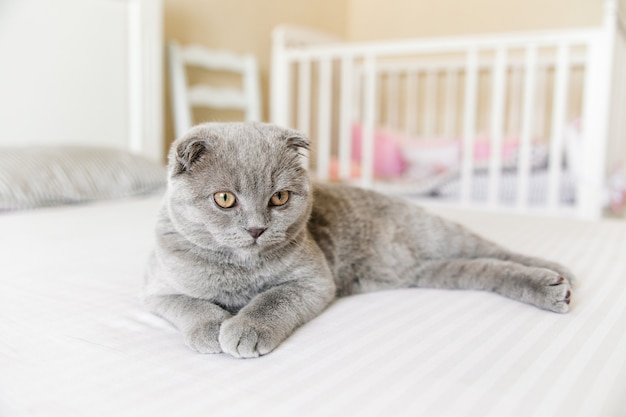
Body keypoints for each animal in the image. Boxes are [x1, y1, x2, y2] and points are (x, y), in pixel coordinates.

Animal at [144, 120, 572, 358]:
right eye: (224, 199)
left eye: (279, 198)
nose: (256, 228)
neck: (240, 271)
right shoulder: (157, 290)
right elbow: (190, 305)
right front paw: (210, 330)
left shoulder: (314, 281)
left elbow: (271, 299)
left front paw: (244, 328)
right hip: (435, 271)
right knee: (482, 267)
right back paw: (553, 286)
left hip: (440, 235)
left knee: (493, 249)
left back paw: (555, 274)